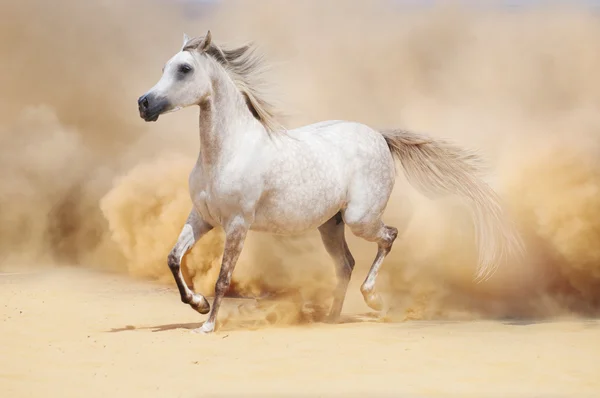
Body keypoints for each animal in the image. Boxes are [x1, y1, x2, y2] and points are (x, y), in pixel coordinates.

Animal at [138, 31, 524, 334]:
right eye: (163, 68)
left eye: (184, 69)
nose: (144, 104)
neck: (229, 151)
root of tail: (379, 136)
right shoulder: (202, 218)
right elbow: (173, 258)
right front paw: (198, 304)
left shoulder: (237, 224)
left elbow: (222, 277)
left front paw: (207, 324)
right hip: (330, 224)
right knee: (346, 263)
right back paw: (332, 317)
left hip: (359, 219)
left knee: (388, 237)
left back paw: (372, 300)